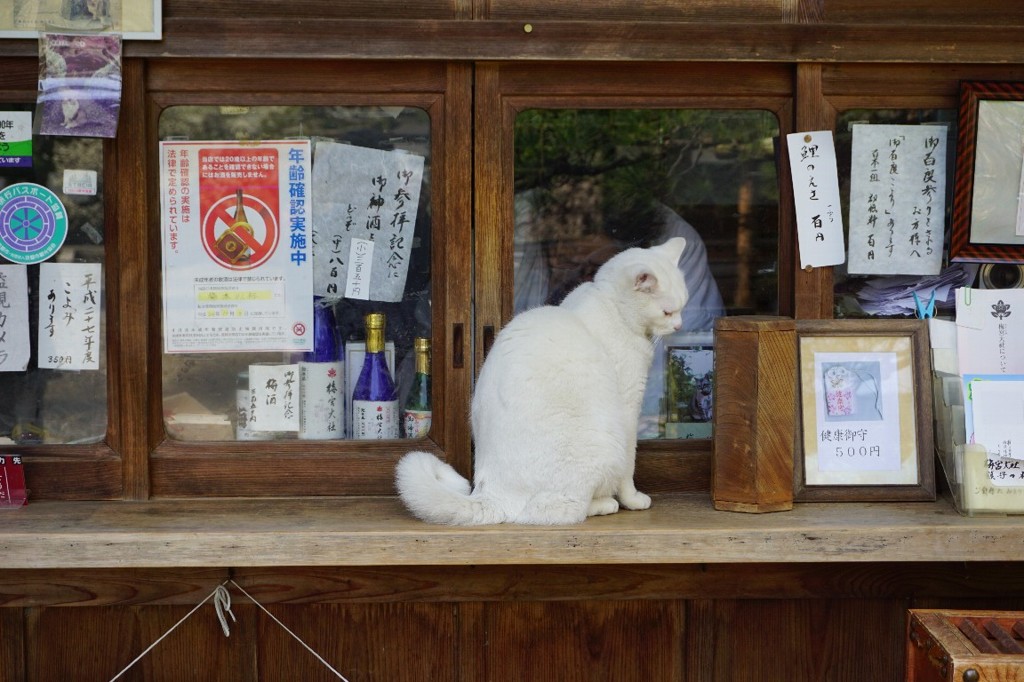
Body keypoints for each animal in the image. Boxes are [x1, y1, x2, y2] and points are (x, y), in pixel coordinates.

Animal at [395, 236, 692, 522]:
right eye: (667, 312)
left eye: (683, 307)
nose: (679, 325)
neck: (609, 304)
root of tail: (493, 495)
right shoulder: (629, 409)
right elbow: (629, 467)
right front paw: (633, 499)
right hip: (607, 443)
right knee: (561, 510)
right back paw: (605, 504)